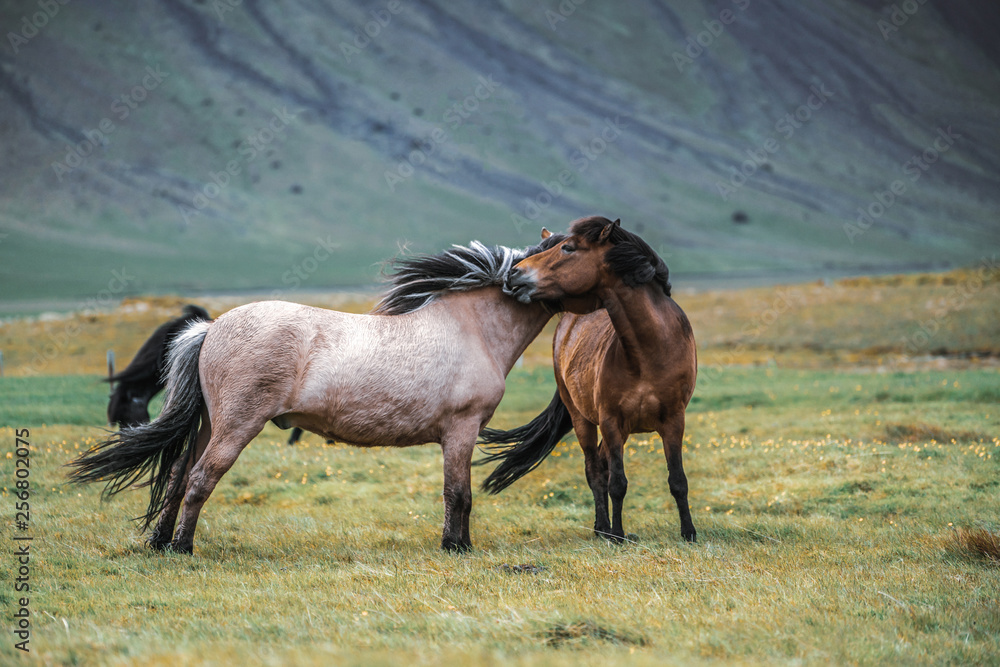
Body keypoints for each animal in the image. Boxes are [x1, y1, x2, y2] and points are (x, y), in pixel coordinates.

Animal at [480, 218, 700, 544]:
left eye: (569, 248)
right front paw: (618, 534)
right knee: (595, 471)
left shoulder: (674, 420)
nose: (514, 273)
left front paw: (689, 533)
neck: (649, 352)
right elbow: (616, 482)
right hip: (584, 419)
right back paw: (602, 529)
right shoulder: (610, 421)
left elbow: (678, 480)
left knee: (602, 464)